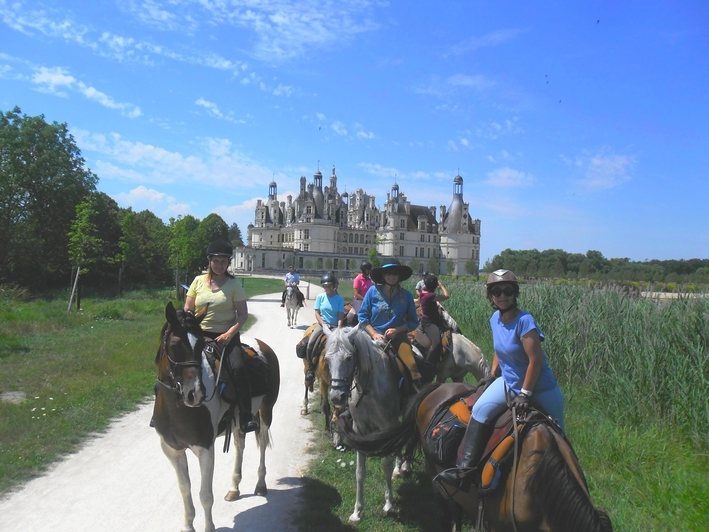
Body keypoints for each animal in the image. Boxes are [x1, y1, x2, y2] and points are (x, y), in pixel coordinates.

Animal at [153, 304, 280, 532]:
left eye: (201, 345)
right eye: (174, 345)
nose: (196, 393)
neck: (176, 408)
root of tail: (263, 347)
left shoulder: (205, 449)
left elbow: (205, 495)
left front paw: (209, 527)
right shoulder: (172, 450)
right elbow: (185, 489)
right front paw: (188, 526)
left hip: (267, 411)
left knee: (263, 442)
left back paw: (260, 485)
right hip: (240, 422)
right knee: (240, 445)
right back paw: (234, 488)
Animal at [324, 324, 406, 524]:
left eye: (349, 358)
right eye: (327, 359)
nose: (337, 397)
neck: (368, 388)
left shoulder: (387, 427)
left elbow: (386, 466)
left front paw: (389, 505)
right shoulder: (359, 431)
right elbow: (360, 472)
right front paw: (357, 512)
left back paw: (404, 466)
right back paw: (399, 468)